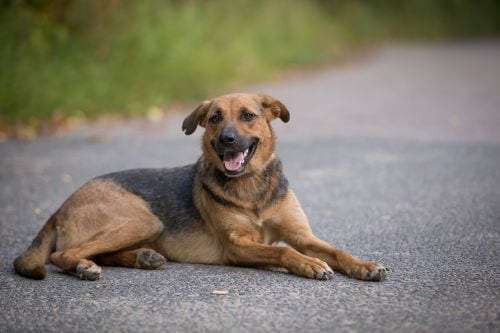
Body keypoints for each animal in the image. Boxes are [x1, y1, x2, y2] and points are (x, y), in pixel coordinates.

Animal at [10, 92, 386, 280]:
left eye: (248, 115)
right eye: (214, 118)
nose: (226, 140)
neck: (250, 187)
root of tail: (60, 207)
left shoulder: (301, 234)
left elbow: (335, 251)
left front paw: (365, 266)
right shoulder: (237, 246)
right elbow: (283, 251)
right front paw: (309, 265)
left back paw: (143, 257)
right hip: (143, 219)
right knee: (62, 254)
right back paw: (85, 267)